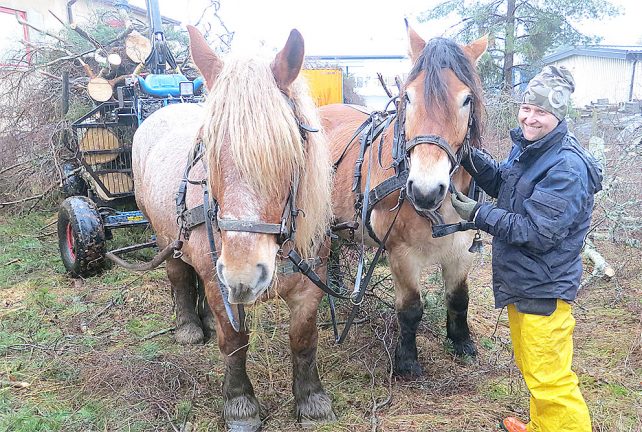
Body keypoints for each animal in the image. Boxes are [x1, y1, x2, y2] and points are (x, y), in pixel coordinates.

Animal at [132, 26, 336, 428]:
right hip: (167, 238)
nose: (244, 274)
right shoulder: (222, 283)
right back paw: (190, 326)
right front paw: (241, 403)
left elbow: (304, 339)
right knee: (180, 276)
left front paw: (311, 399)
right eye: (206, 150)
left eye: (289, 150)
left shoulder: (310, 284)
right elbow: (235, 341)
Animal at [320, 23, 484, 376]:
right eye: (408, 96)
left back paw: (337, 286)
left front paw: (462, 343)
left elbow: (459, 298)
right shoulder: (401, 253)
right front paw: (407, 360)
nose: (425, 190)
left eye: (467, 99)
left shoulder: (460, 249)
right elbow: (410, 307)